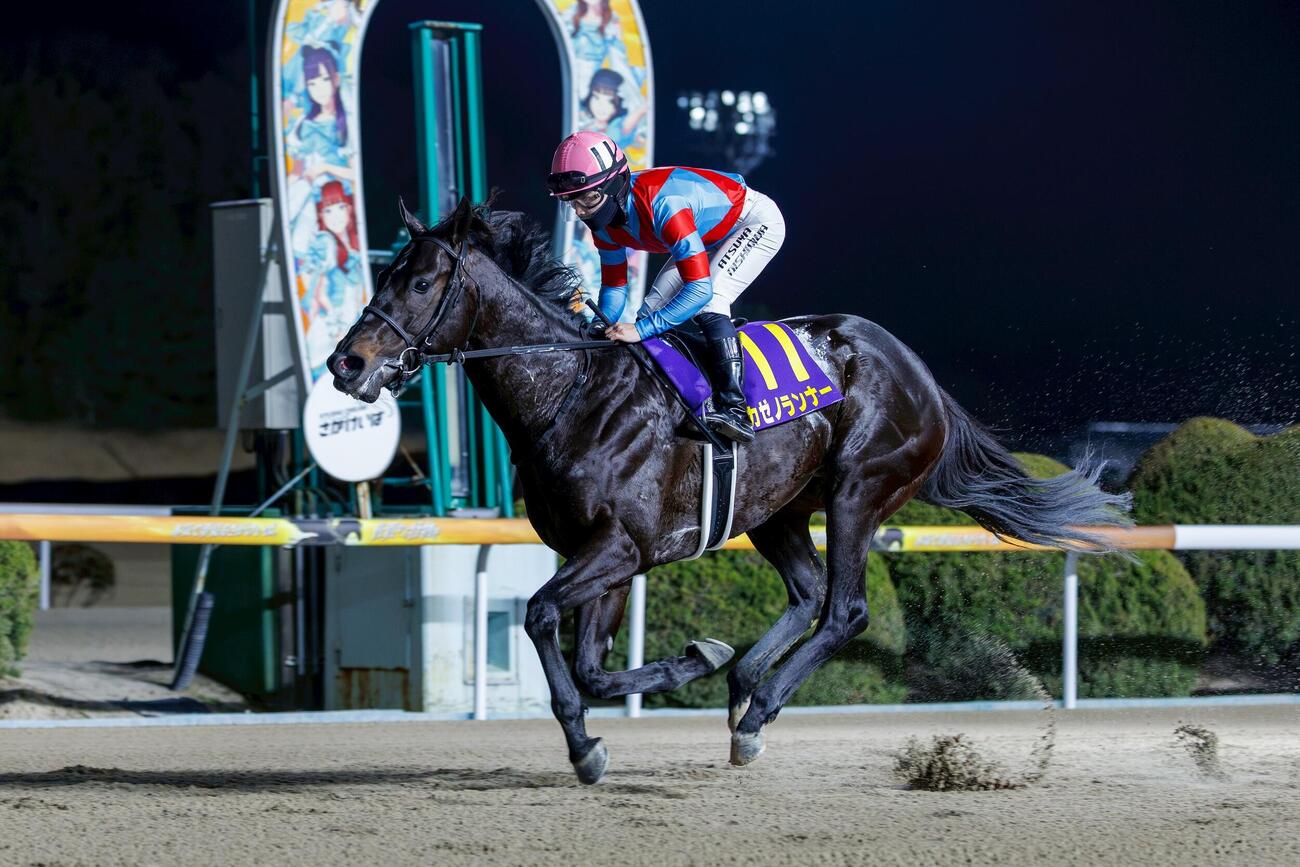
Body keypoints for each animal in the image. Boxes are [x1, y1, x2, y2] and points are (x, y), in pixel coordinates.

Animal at [327, 197, 1129, 785]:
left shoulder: (620, 546)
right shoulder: (605, 553)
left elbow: (539, 614)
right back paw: (744, 680)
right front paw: (657, 691)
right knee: (807, 592)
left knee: (845, 610)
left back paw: (756, 711)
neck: (571, 391)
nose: (345, 362)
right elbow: (589, 666)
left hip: (858, 490)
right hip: (778, 510)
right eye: (383, 276)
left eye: (420, 283)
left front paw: (607, 729)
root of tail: (922, 376)